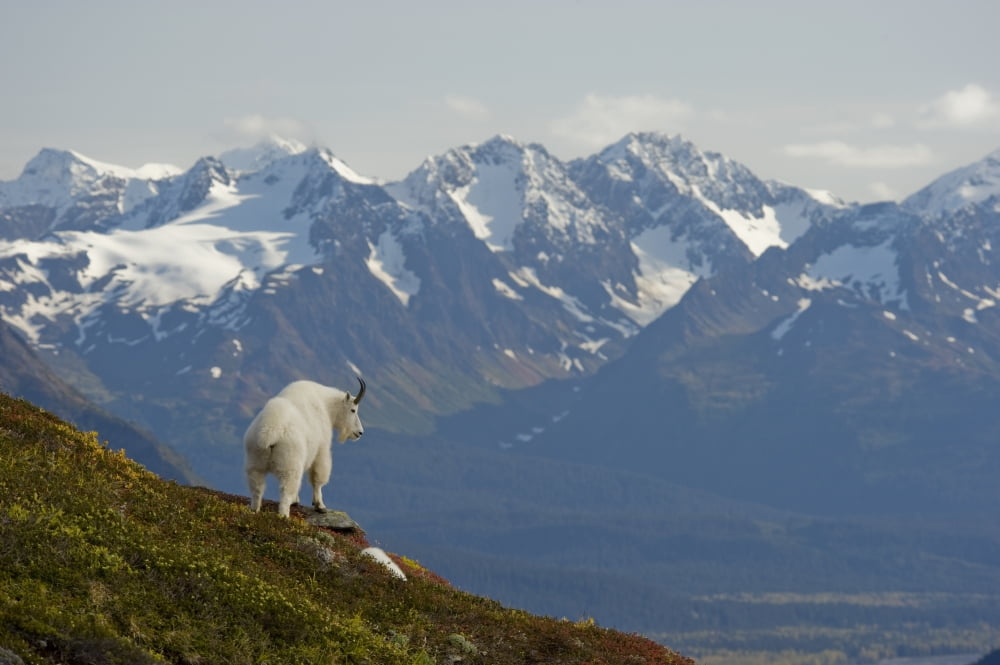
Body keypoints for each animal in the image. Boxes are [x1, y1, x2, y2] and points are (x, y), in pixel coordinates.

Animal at [244, 377, 366, 517]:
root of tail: (270, 431)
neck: (326, 406)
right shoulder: (321, 450)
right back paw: (284, 515)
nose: (360, 432)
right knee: (286, 489)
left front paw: (296, 500)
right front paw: (320, 506)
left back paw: (255, 510)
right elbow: (317, 479)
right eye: (353, 410)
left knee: (257, 488)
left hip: (255, 460)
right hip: (289, 463)